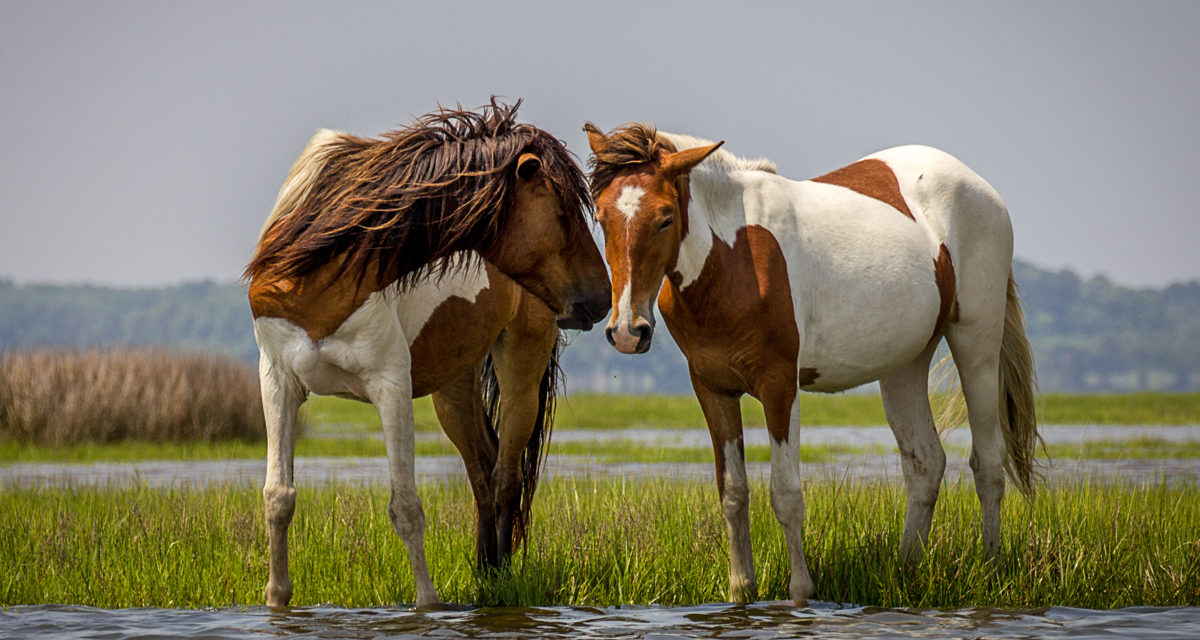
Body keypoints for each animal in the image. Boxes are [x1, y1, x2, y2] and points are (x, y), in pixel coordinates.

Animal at [242, 102, 604, 605]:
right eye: (562, 210)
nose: (602, 297)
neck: (322, 267)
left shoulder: (390, 385)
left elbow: (406, 506)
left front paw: (428, 604)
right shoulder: (277, 380)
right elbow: (278, 496)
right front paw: (276, 599)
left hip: (521, 367)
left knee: (506, 476)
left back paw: (501, 579)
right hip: (454, 385)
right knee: (483, 470)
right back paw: (485, 574)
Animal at [585, 123, 1036, 602]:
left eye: (666, 217)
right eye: (602, 217)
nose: (628, 331)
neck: (731, 260)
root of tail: (981, 189)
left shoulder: (779, 385)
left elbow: (786, 494)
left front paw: (801, 591)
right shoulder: (713, 388)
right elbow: (733, 493)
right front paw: (741, 590)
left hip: (977, 346)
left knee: (988, 463)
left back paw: (991, 567)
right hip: (905, 364)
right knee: (925, 463)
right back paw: (907, 568)